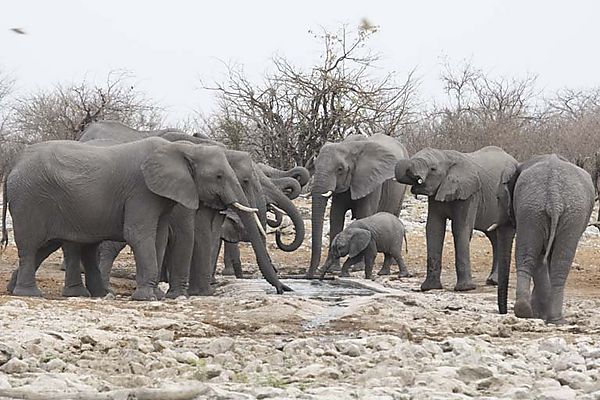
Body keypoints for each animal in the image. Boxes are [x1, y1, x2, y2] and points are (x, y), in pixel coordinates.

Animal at [2, 138, 288, 300]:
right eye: (219, 176)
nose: (284, 290)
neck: (184, 149)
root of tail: (13, 166)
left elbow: (158, 237)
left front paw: (157, 294)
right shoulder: (142, 190)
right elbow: (140, 234)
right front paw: (152, 297)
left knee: (50, 246)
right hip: (30, 200)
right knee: (31, 246)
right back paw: (31, 294)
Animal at [304, 134, 408, 278]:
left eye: (340, 169)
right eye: (315, 166)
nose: (311, 274)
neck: (349, 146)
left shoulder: (371, 181)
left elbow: (364, 213)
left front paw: (357, 267)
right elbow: (335, 216)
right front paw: (334, 269)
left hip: (402, 188)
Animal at [396, 145, 516, 292]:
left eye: (433, 169)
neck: (447, 156)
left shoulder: (470, 193)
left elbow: (460, 228)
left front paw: (465, 289)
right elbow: (434, 228)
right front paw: (429, 288)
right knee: (494, 237)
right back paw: (493, 281)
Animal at [496, 155, 596, 324]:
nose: (502, 312)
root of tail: (554, 197)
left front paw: (539, 314)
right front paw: (540, 314)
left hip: (542, 211)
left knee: (533, 257)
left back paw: (529, 312)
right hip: (541, 210)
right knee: (551, 262)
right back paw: (552, 319)